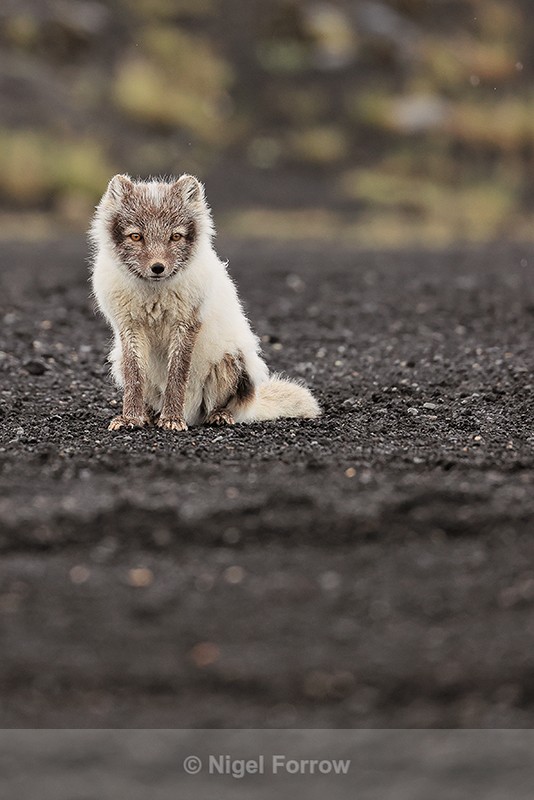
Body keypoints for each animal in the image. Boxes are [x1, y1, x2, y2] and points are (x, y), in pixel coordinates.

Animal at [89, 174, 320, 431]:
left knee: (219, 406)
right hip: (120, 360)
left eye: (175, 236)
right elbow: (134, 378)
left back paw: (215, 415)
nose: (158, 268)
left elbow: (177, 375)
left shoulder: (187, 324)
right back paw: (150, 414)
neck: (154, 296)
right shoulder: (129, 327)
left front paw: (172, 419)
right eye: (136, 236)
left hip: (230, 361)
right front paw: (131, 418)